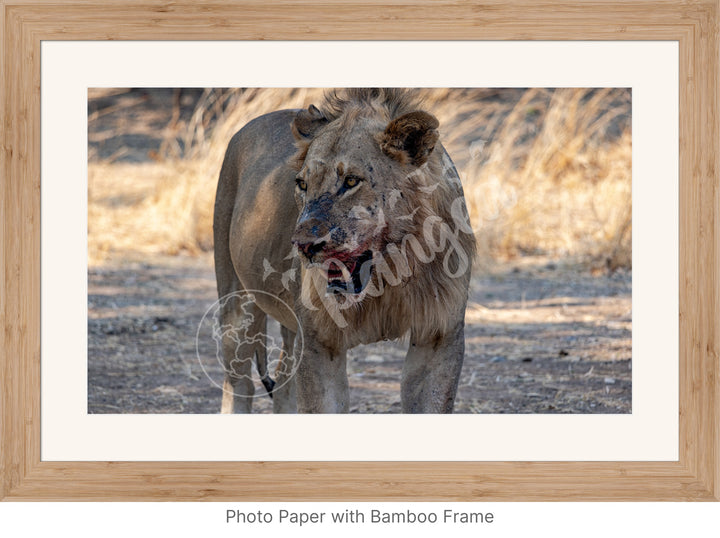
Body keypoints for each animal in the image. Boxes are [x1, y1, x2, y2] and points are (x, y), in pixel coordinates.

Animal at [211, 89, 476, 414]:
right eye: (302, 184)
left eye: (351, 181)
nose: (303, 246)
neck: (390, 275)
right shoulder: (320, 342)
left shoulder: (439, 336)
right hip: (236, 299)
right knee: (238, 384)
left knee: (284, 379)